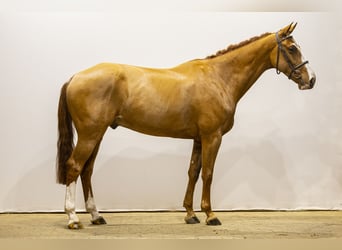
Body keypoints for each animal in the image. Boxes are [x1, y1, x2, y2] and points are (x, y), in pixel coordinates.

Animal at [56, 23, 316, 229]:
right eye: (292, 48)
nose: (311, 79)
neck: (219, 77)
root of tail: (76, 77)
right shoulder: (213, 136)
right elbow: (209, 173)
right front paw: (210, 215)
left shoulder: (199, 138)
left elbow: (193, 172)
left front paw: (191, 214)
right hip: (90, 134)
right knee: (74, 166)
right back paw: (73, 218)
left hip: (97, 135)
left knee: (87, 171)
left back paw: (96, 216)